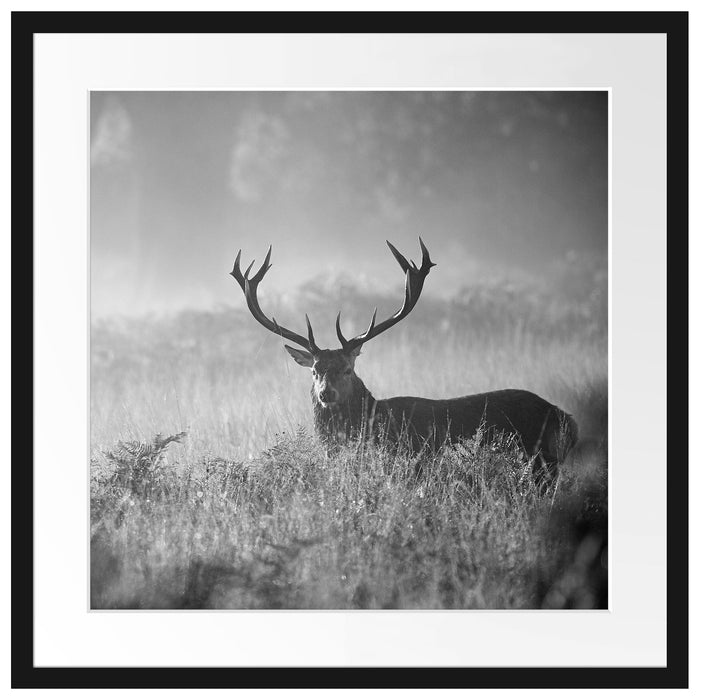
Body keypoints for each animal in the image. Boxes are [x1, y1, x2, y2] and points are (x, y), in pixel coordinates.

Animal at [231, 238, 578, 486]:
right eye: (315, 370)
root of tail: (568, 419)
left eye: (348, 368)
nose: (326, 393)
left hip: (540, 459)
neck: (375, 422)